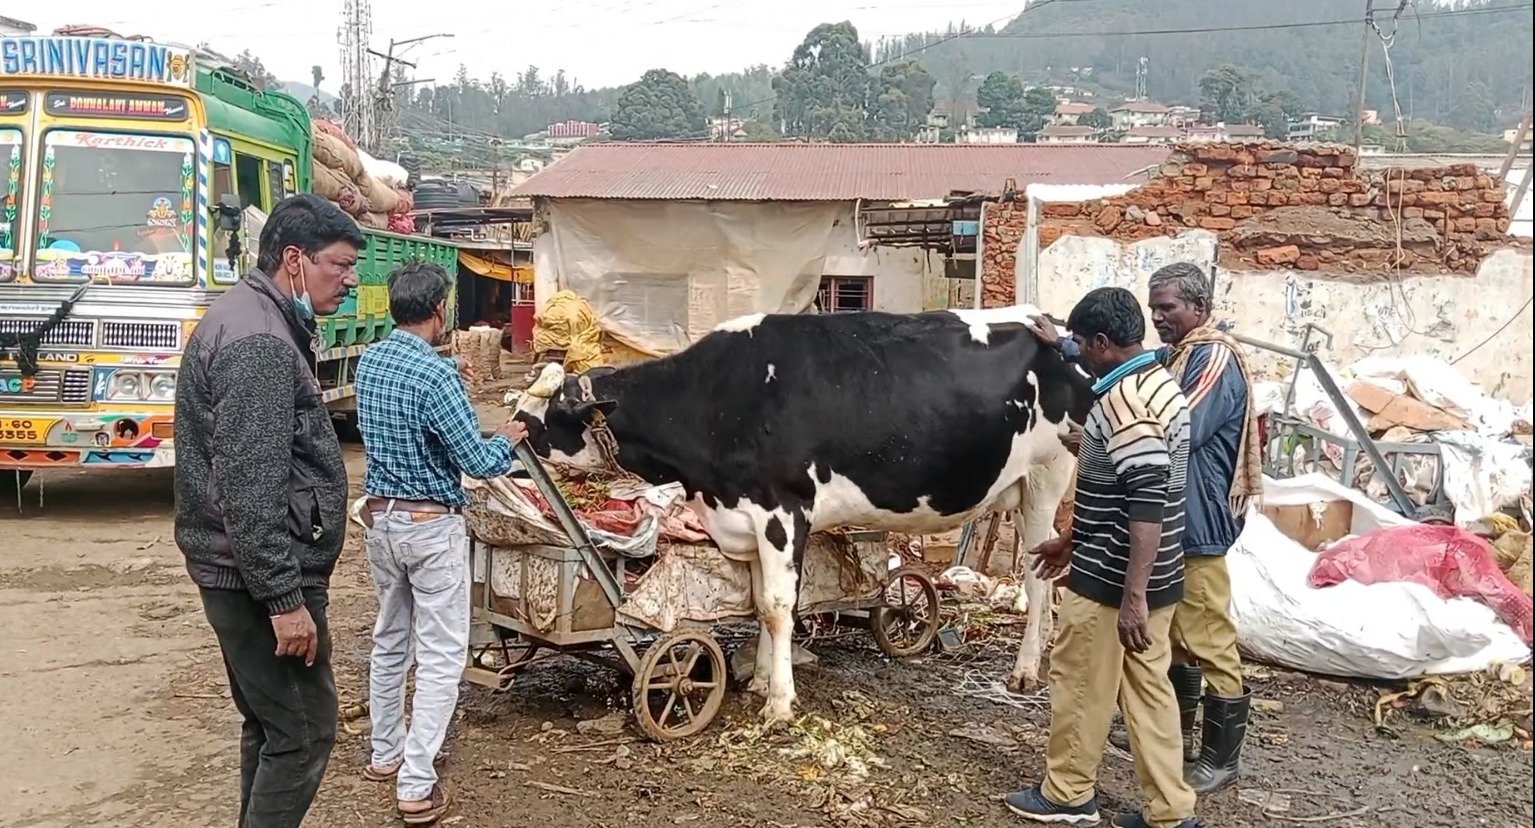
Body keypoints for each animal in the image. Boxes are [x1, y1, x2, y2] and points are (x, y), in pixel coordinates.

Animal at [515, 307, 1092, 722]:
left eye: (552, 410)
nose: (512, 429)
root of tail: (1055, 324)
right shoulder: (746, 518)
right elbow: (760, 606)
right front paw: (759, 681)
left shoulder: (782, 510)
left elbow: (777, 606)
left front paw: (779, 702)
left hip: (1047, 478)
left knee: (1038, 576)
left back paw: (1025, 672)